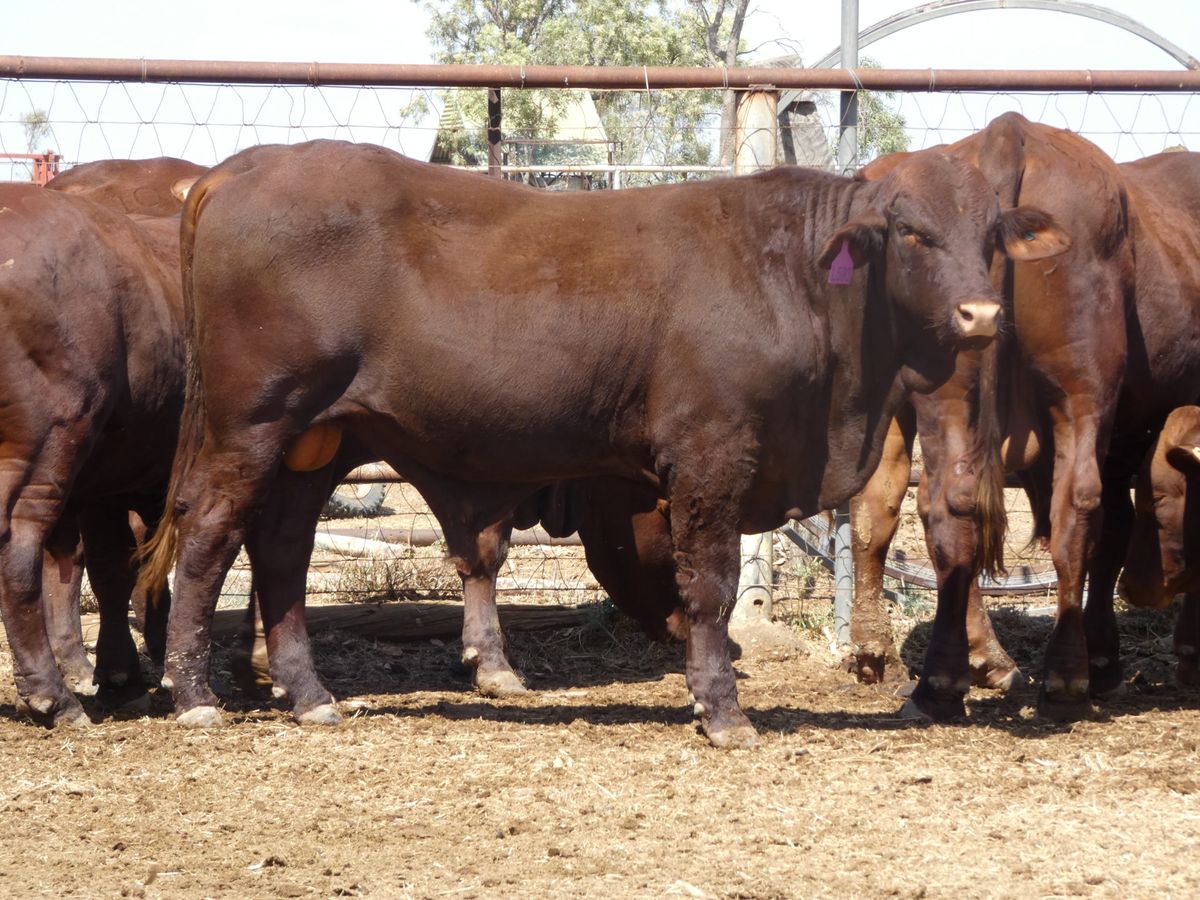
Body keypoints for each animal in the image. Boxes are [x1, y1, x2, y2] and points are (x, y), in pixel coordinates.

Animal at [0, 181, 188, 725]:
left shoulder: (111, 481)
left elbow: (113, 570)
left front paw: (121, 675)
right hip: (50, 444)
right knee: (18, 551)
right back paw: (53, 695)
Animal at [136, 138, 1069, 748]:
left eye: (992, 236)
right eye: (911, 230)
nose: (981, 314)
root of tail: (234, 171)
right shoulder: (710, 457)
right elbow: (710, 588)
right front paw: (721, 711)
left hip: (320, 439)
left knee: (281, 549)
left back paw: (308, 693)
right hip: (250, 421)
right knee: (210, 533)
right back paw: (192, 692)